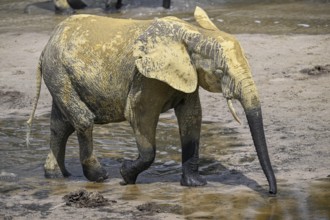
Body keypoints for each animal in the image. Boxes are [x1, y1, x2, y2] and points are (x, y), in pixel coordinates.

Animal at [27, 6, 278, 194]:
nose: (271, 192)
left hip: (60, 73)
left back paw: (57, 176)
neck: (193, 34)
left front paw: (195, 185)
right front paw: (125, 175)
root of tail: (46, 46)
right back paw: (99, 177)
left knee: (60, 126)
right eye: (220, 72)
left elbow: (192, 117)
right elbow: (139, 115)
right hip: (59, 72)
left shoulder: (187, 73)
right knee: (82, 120)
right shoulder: (145, 78)